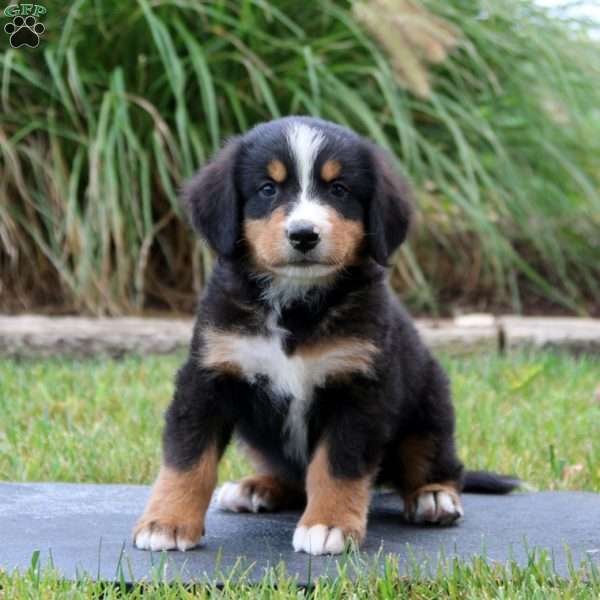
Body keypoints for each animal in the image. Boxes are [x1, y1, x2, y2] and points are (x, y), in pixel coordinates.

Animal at [134, 115, 516, 556]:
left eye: (339, 189)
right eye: (268, 188)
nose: (304, 234)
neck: (295, 306)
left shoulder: (358, 387)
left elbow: (336, 467)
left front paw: (328, 524)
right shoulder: (208, 375)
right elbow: (188, 459)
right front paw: (167, 522)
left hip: (429, 403)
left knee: (437, 461)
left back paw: (433, 496)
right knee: (288, 475)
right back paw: (256, 488)